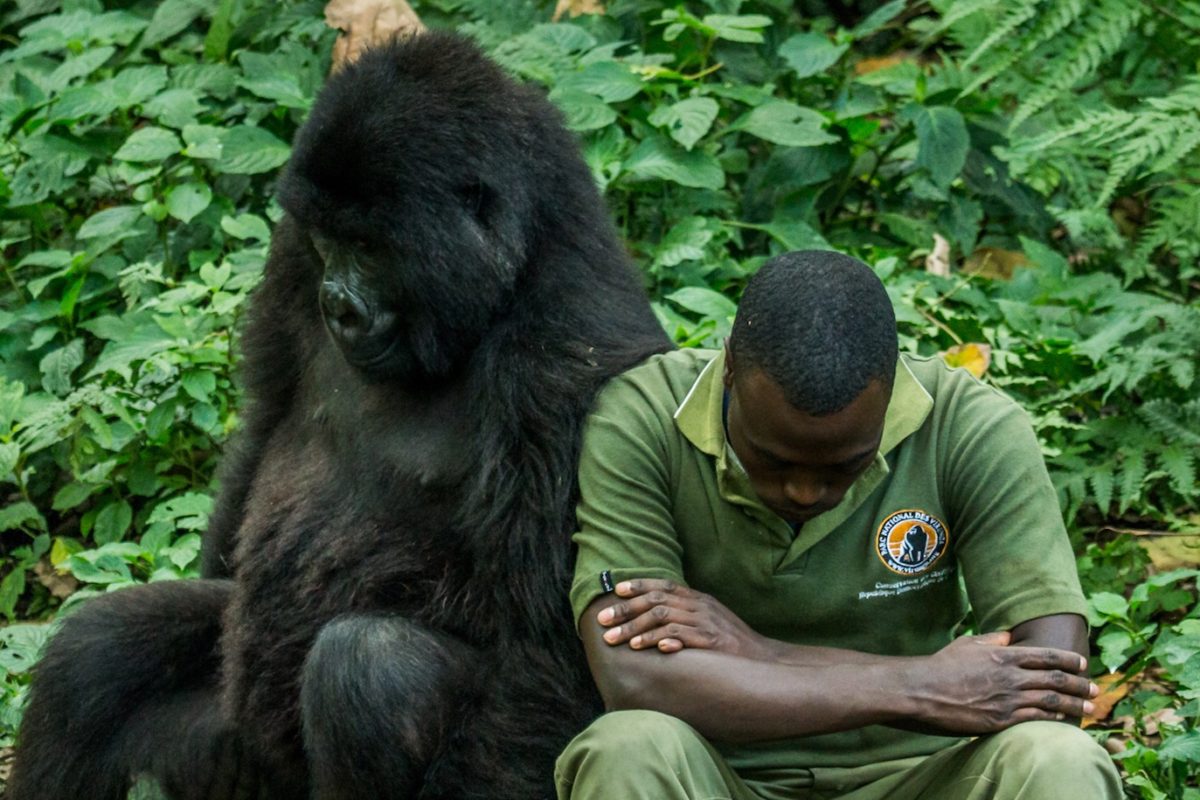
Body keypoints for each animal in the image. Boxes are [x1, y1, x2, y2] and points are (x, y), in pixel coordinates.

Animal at [9, 28, 672, 796]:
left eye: (369, 246)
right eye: (329, 240)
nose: (337, 304)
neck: (510, 271)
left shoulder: (572, 358)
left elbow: (543, 652)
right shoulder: (291, 252)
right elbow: (264, 418)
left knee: (371, 671)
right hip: (236, 751)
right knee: (98, 651)